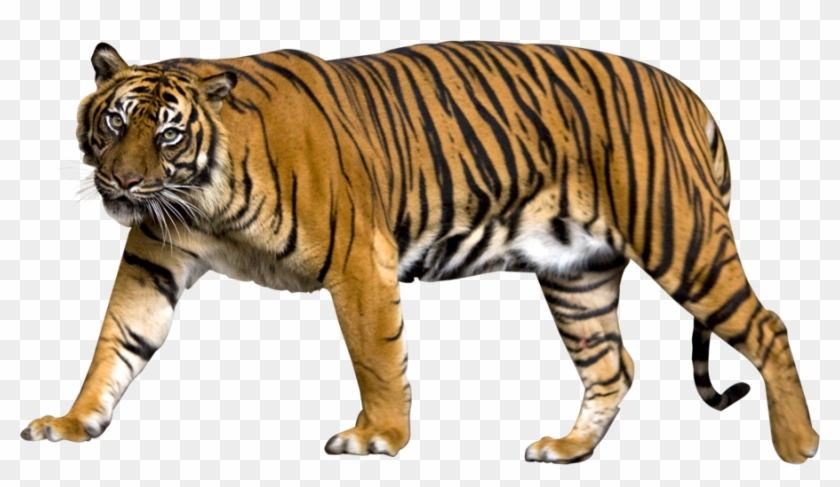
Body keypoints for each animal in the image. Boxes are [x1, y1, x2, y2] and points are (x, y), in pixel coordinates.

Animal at [20, 41, 819, 464]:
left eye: (168, 134)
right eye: (114, 123)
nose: (123, 181)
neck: (202, 201)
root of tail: (689, 95)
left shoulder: (359, 261)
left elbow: (376, 355)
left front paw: (378, 436)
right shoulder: (153, 260)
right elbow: (116, 344)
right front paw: (73, 422)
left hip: (680, 236)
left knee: (768, 325)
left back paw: (799, 445)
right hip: (578, 276)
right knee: (612, 365)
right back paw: (568, 449)